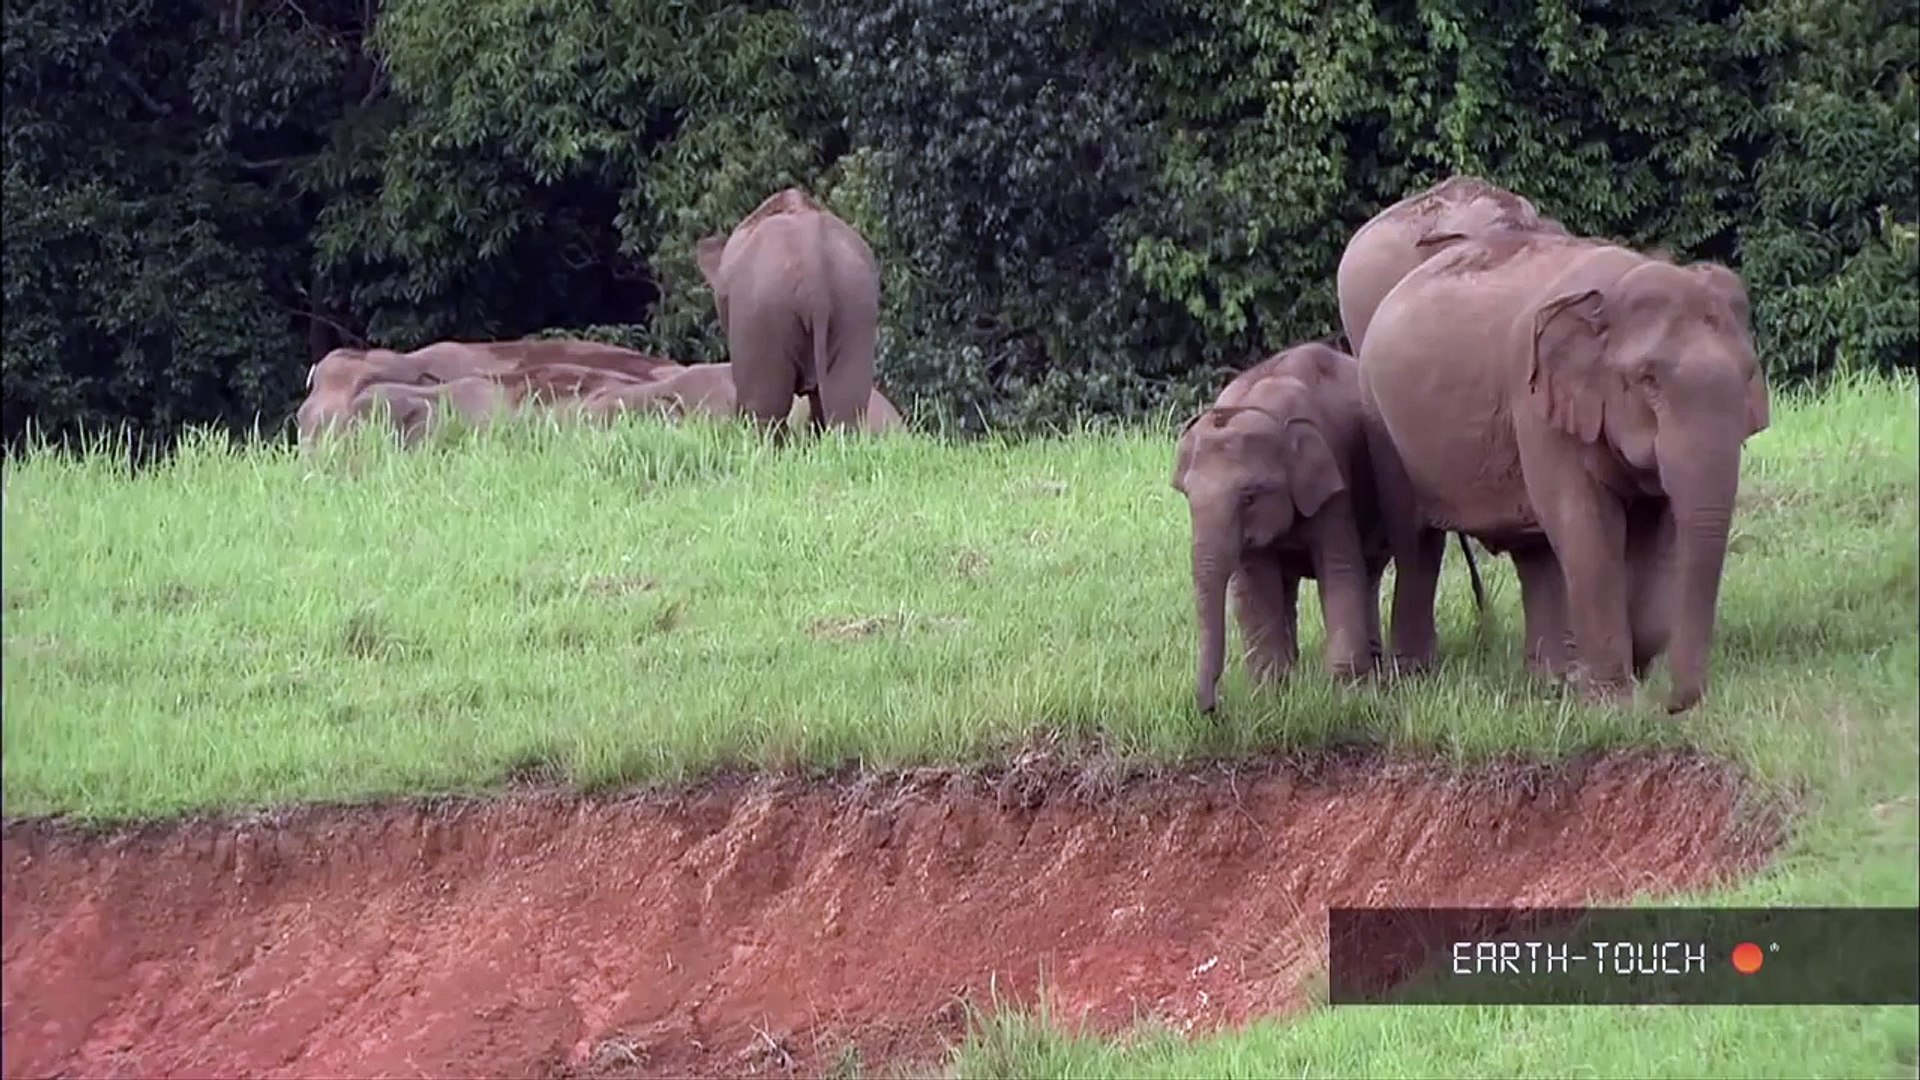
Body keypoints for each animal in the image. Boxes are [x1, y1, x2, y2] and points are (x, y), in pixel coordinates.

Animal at [1172, 341, 1396, 712]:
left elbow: (1339, 569)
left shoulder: (1333, 483)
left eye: (1249, 498)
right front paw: (1270, 696)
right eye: (1187, 496)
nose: (1213, 710)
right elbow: (1256, 584)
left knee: (1369, 572)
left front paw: (1344, 694)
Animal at [1356, 228, 1771, 714]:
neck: (1615, 289)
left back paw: (1550, 681)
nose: (1674, 704)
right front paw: (1615, 704)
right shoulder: (1536, 402)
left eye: (1748, 373)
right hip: (1380, 421)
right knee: (1417, 544)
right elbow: (1585, 524)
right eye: (1647, 379)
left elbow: (1660, 530)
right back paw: (1415, 679)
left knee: (1534, 553)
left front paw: (1623, 672)